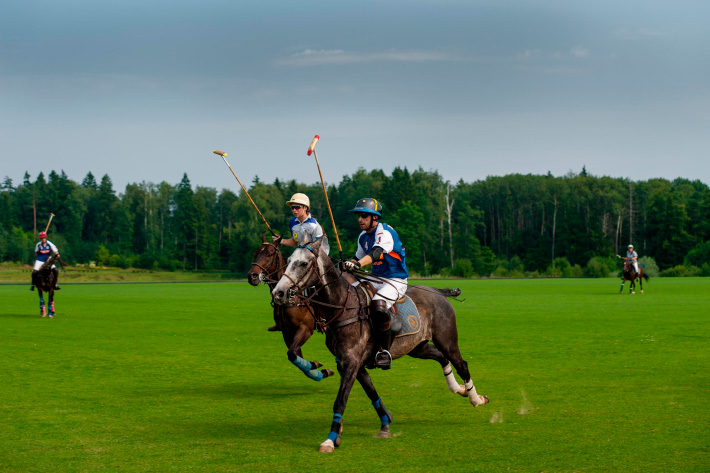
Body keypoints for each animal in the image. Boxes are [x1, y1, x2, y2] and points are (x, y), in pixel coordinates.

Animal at [249, 234, 338, 382]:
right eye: (255, 253)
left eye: (269, 254)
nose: (252, 276)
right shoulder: (286, 331)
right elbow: (295, 354)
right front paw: (316, 367)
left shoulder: (306, 328)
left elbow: (292, 352)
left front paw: (317, 368)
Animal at [272, 238, 490, 452]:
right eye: (288, 260)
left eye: (303, 263)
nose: (278, 293)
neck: (343, 307)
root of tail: (437, 292)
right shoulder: (348, 364)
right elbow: (372, 393)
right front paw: (384, 425)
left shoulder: (351, 362)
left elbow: (340, 401)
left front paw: (330, 440)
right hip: (417, 347)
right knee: (441, 357)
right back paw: (458, 389)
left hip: (447, 339)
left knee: (461, 364)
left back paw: (476, 399)